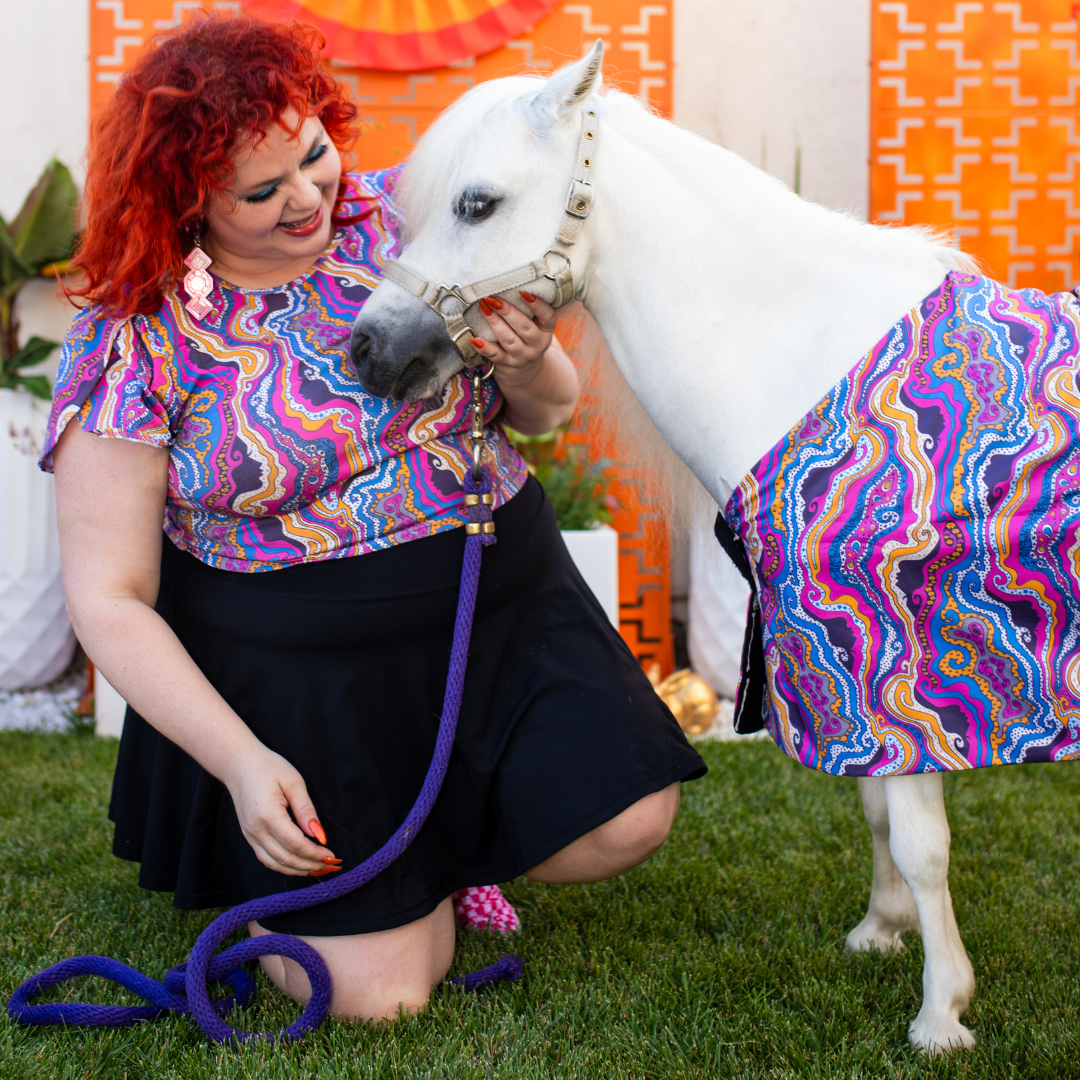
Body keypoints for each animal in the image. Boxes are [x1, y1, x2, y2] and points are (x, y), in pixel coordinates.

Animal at [349, 44, 989, 1054]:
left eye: (478, 204)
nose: (368, 350)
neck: (806, 357)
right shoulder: (849, 675)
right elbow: (877, 810)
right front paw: (881, 933)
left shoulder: (897, 663)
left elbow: (922, 842)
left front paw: (940, 1015)